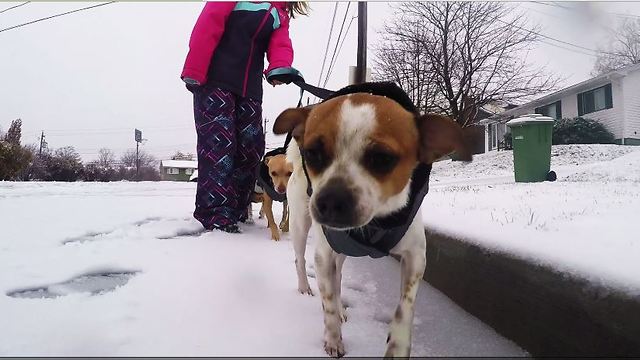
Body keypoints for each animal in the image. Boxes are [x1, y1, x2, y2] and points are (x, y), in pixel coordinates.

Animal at [272, 88, 470, 358]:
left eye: (382, 158)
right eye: (312, 153)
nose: (330, 200)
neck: (373, 224)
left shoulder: (416, 257)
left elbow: (405, 306)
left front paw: (398, 345)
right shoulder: (323, 256)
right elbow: (328, 303)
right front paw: (333, 340)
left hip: (340, 253)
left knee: (338, 277)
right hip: (301, 226)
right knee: (300, 260)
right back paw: (305, 288)